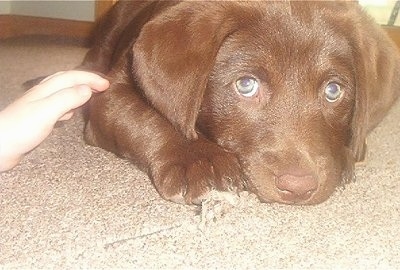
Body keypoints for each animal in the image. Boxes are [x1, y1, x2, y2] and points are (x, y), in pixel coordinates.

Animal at [82, 1, 400, 205]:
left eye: (333, 90)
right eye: (246, 85)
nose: (298, 187)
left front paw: (345, 154)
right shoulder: (110, 96)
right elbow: (146, 118)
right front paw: (197, 159)